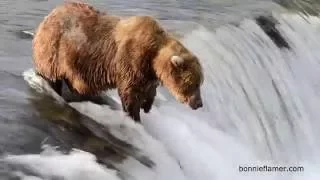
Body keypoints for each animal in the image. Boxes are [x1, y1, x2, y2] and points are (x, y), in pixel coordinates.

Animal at [31, 1, 202, 121]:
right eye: (194, 84)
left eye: (200, 83)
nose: (199, 104)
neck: (153, 56)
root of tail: (47, 17)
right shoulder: (132, 61)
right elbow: (130, 93)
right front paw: (134, 116)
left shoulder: (147, 73)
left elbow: (148, 90)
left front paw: (146, 106)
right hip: (54, 50)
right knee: (51, 76)